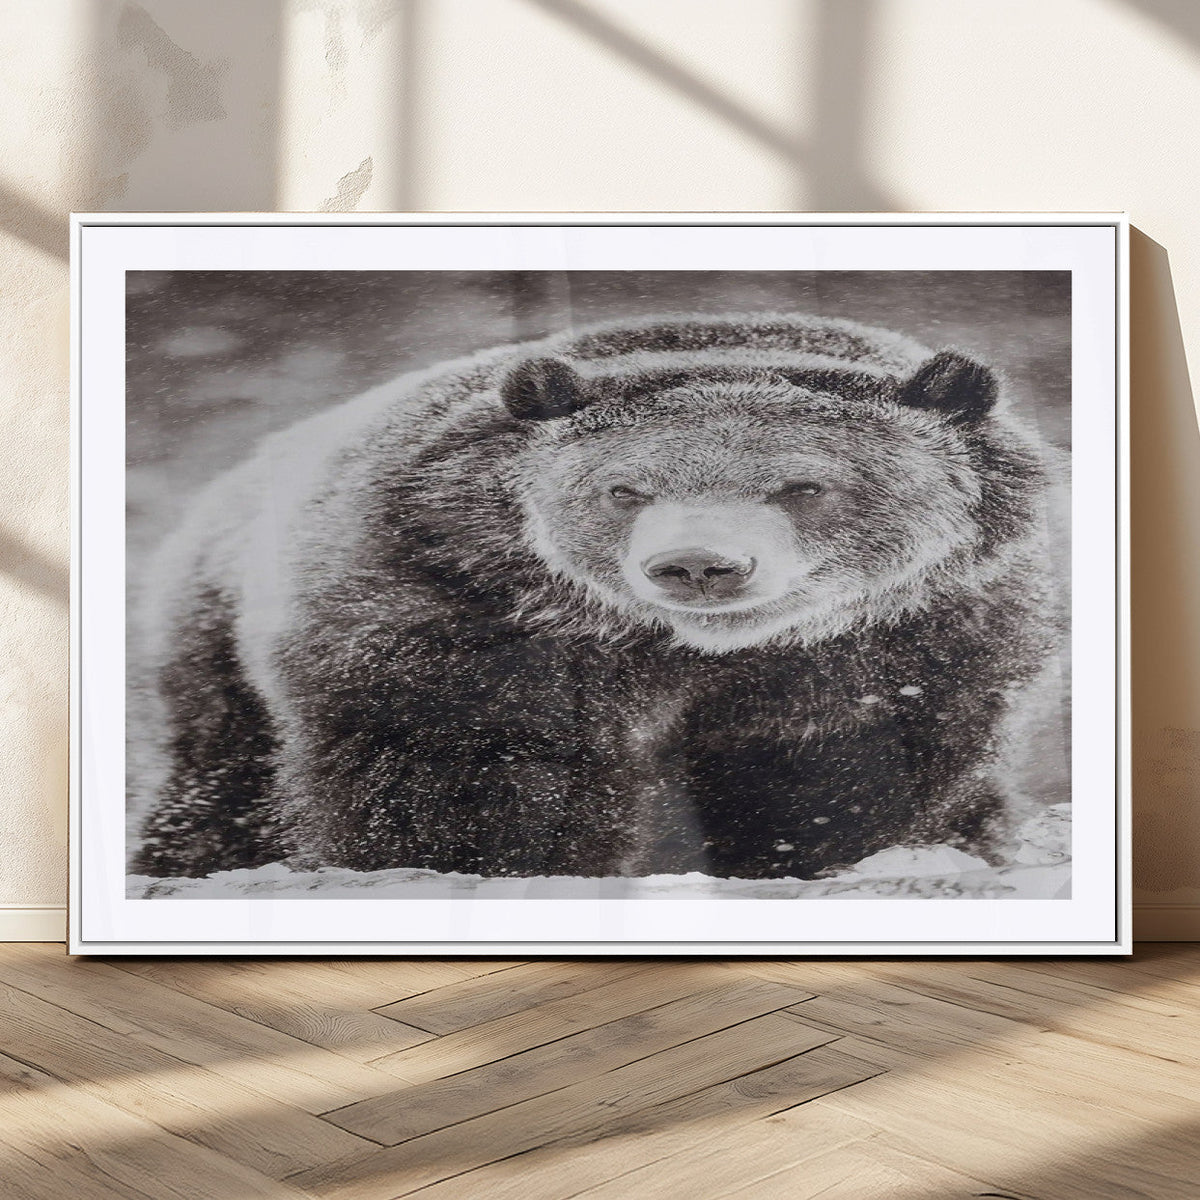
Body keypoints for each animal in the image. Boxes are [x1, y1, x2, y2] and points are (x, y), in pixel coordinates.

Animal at [129, 311, 1063, 882]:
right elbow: (469, 766)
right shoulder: (450, 612)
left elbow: (846, 771)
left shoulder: (913, 639)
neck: (689, 655)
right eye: (625, 489)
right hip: (214, 649)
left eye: (803, 485)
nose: (699, 565)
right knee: (222, 783)